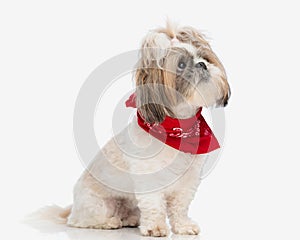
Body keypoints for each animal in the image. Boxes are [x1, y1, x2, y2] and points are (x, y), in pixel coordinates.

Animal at [47, 22, 230, 236]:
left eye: (205, 57)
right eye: (181, 65)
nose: (202, 65)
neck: (179, 129)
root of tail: (71, 210)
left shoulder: (187, 181)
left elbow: (180, 206)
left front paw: (183, 225)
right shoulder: (149, 179)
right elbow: (154, 204)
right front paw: (156, 228)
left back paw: (131, 219)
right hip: (95, 204)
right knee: (82, 221)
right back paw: (109, 222)